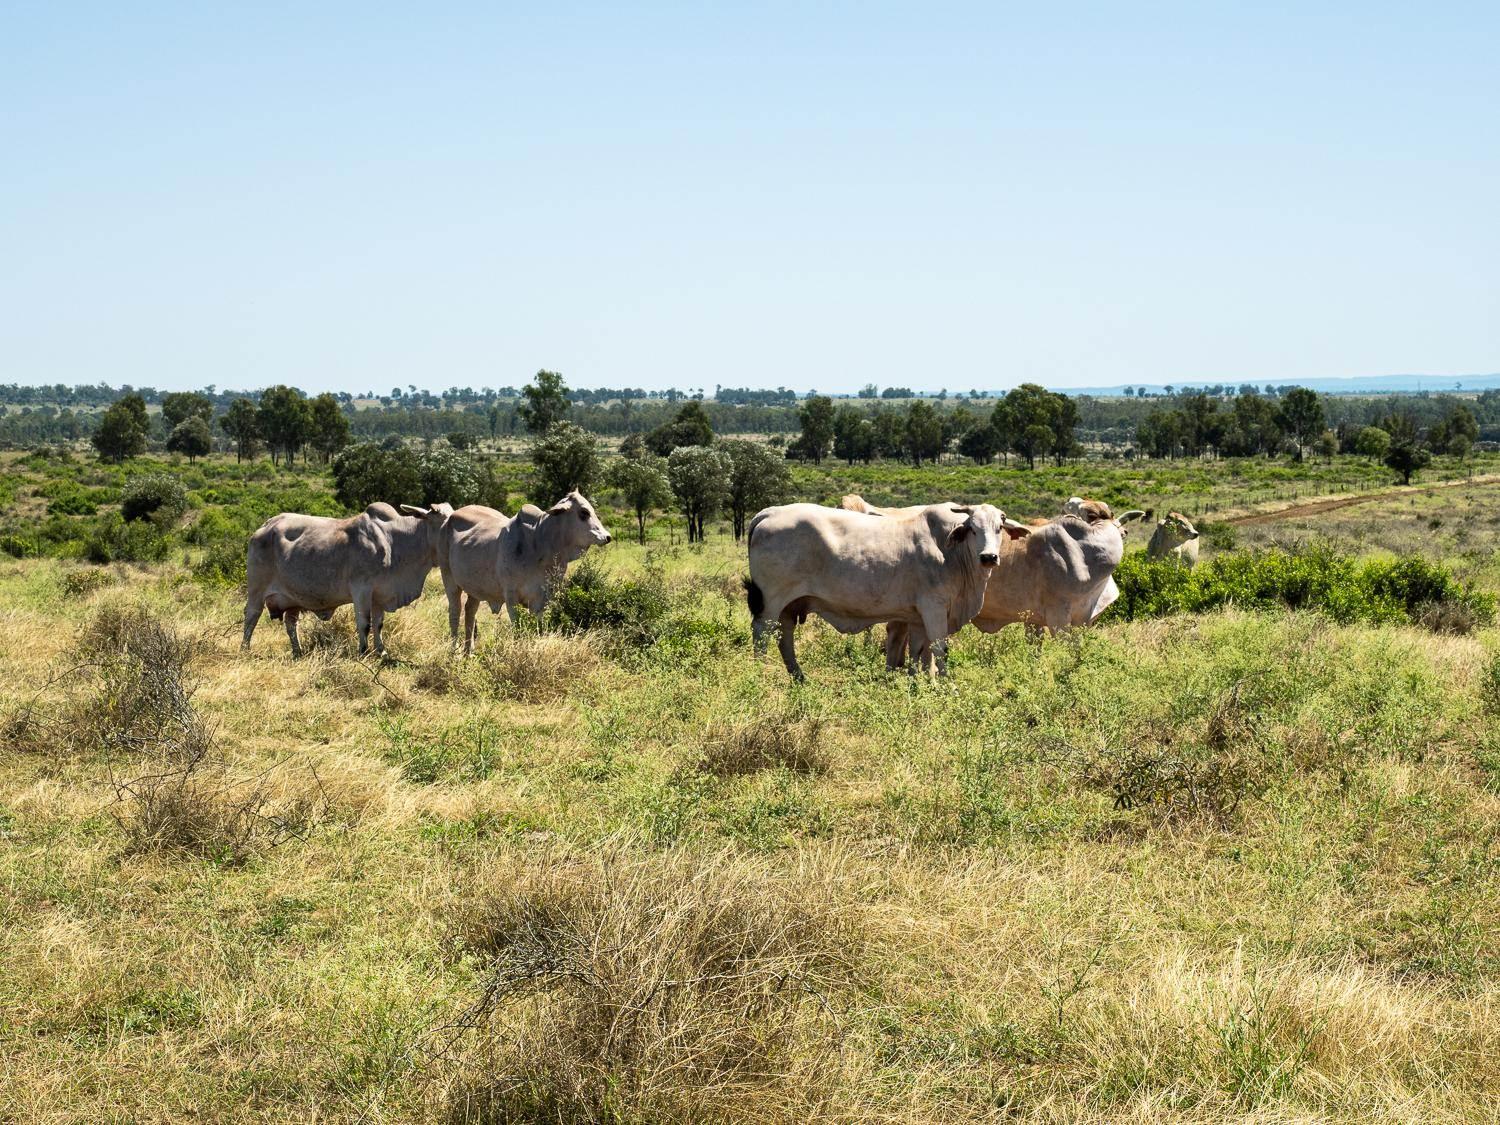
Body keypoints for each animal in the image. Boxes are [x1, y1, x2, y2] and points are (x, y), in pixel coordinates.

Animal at [237, 504, 450, 660]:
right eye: (445, 521)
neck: (395, 540)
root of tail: (266, 526)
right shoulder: (362, 589)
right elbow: (364, 623)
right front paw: (363, 652)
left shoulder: (380, 595)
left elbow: (379, 624)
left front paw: (381, 651)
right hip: (256, 589)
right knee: (251, 616)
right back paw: (245, 649)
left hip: (292, 599)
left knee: (291, 623)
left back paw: (298, 652)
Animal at [438, 489, 609, 657]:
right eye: (584, 512)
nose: (607, 537)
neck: (541, 543)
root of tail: (450, 518)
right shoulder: (511, 597)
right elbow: (518, 627)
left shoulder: (542, 599)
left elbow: (536, 627)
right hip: (449, 579)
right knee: (455, 612)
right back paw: (454, 651)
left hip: (475, 589)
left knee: (470, 612)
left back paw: (469, 652)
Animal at [744, 501, 1026, 678]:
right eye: (973, 529)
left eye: (999, 528)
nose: (988, 557)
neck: (951, 552)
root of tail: (768, 513)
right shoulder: (934, 608)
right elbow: (938, 649)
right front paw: (948, 687)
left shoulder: (917, 616)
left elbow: (917, 651)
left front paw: (917, 684)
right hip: (771, 602)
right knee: (762, 634)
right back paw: (760, 675)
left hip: (790, 606)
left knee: (785, 637)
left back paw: (799, 677)